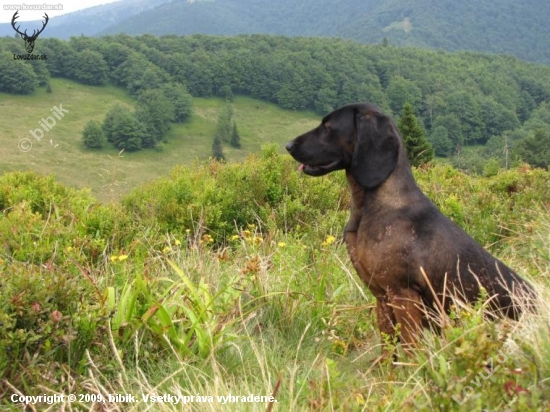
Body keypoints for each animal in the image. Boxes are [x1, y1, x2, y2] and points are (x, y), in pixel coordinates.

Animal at [286, 102, 536, 348]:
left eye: (328, 127)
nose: (288, 145)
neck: (368, 207)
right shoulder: (382, 298)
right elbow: (388, 350)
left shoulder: (402, 295)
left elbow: (409, 348)